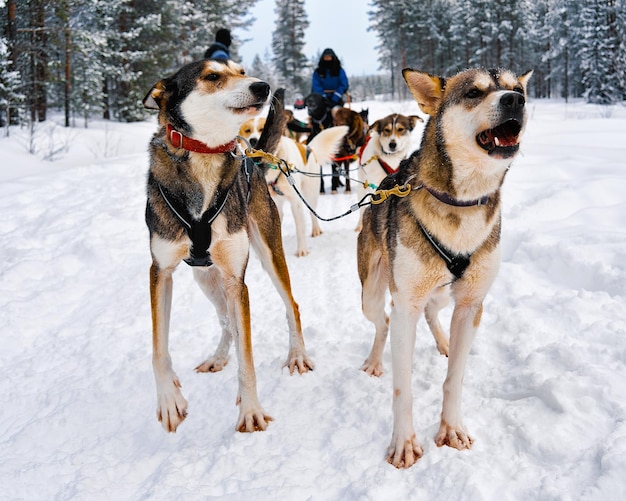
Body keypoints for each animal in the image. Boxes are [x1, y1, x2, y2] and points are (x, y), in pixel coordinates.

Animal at [141, 58, 312, 434]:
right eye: (212, 76)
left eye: (241, 70)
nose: (262, 86)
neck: (204, 157)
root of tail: (254, 160)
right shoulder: (160, 272)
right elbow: (158, 348)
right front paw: (169, 400)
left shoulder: (237, 281)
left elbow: (247, 359)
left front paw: (250, 410)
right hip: (204, 277)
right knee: (226, 324)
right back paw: (219, 357)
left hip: (268, 255)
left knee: (292, 305)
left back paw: (297, 355)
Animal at [238, 114, 346, 252]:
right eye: (248, 130)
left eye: (263, 128)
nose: (253, 140)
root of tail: (308, 148)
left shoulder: (296, 202)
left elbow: (300, 229)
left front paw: (302, 249)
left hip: (310, 194)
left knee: (313, 212)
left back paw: (316, 229)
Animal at [358, 67, 528, 468]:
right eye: (474, 92)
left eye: (517, 87)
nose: (515, 100)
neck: (461, 202)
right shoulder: (405, 305)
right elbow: (402, 387)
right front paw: (404, 442)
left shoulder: (470, 305)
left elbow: (455, 379)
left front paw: (451, 428)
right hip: (372, 293)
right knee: (382, 323)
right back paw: (374, 361)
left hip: (438, 293)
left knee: (433, 313)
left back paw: (443, 342)